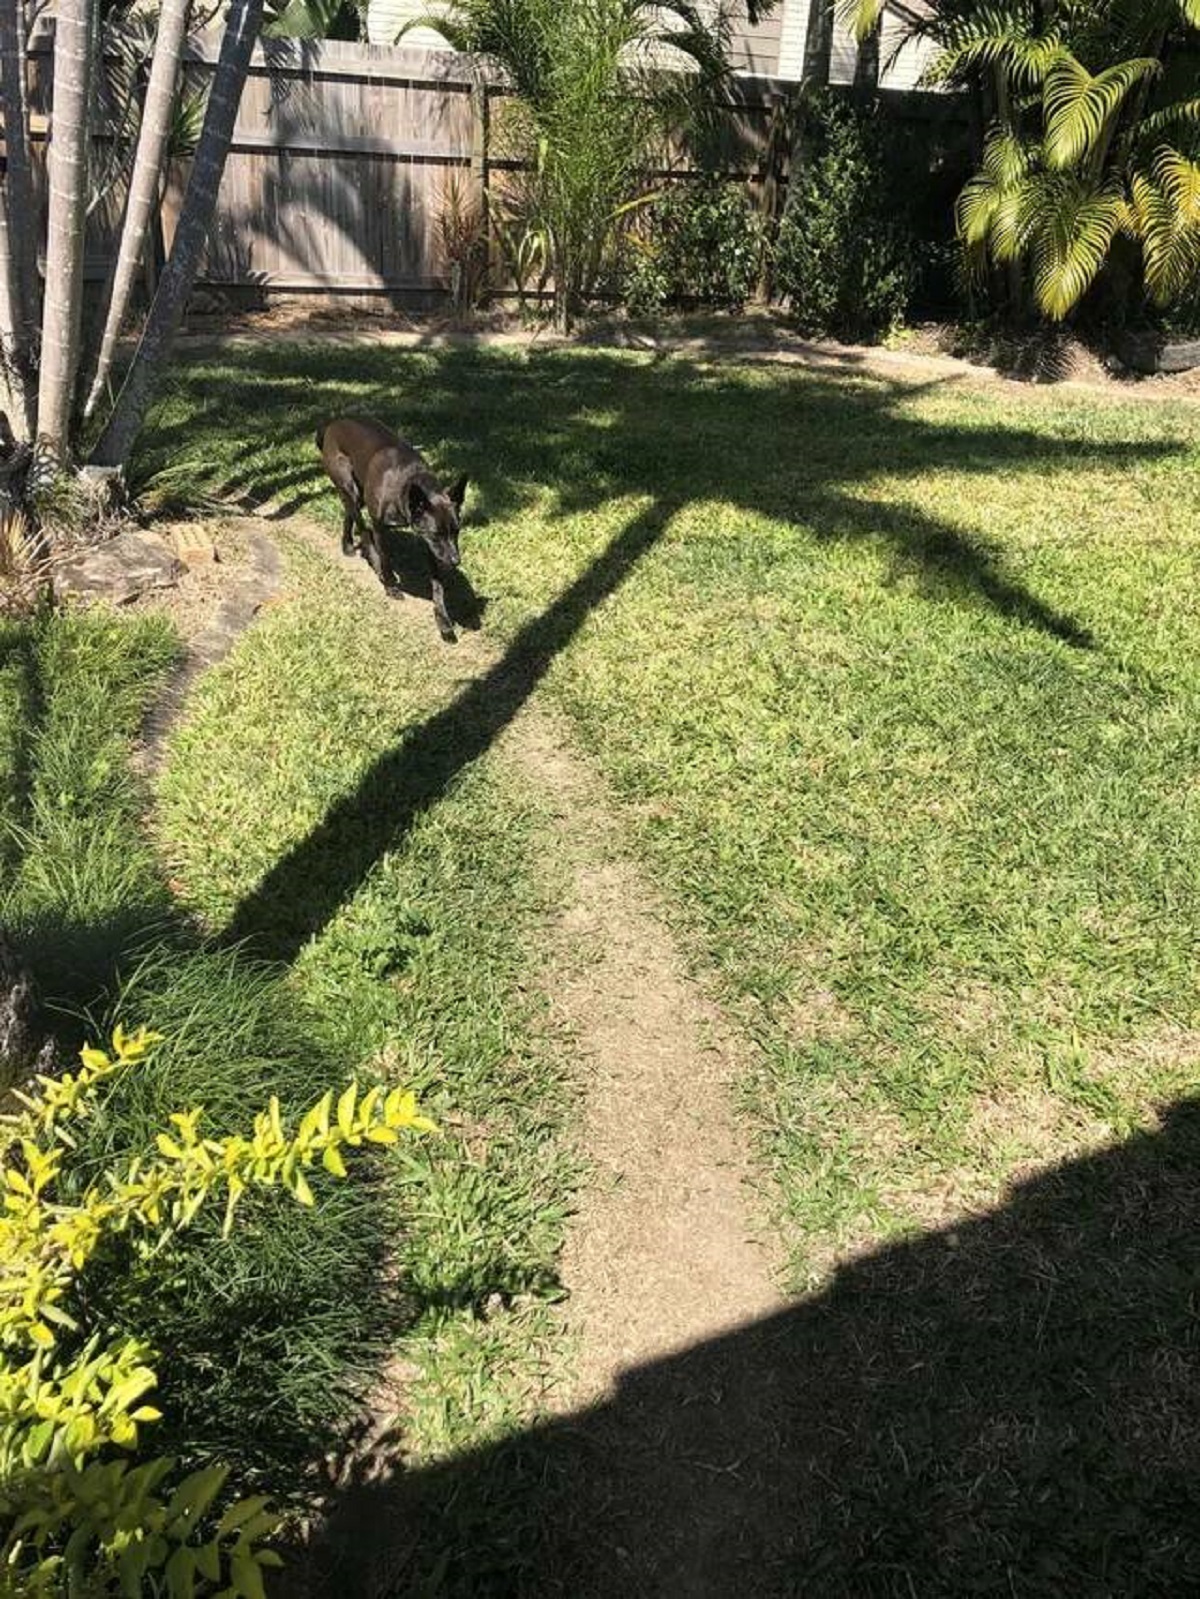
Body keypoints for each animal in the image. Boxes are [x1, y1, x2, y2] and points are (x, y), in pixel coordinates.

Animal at [315, 418, 470, 642]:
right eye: (436, 534)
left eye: (456, 531)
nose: (455, 561)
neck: (406, 483)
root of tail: (333, 423)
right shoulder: (381, 527)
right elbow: (385, 557)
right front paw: (389, 585)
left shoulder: (430, 546)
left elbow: (437, 586)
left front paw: (444, 622)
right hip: (349, 486)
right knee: (361, 526)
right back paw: (369, 558)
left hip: (358, 493)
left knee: (349, 513)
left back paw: (347, 544)